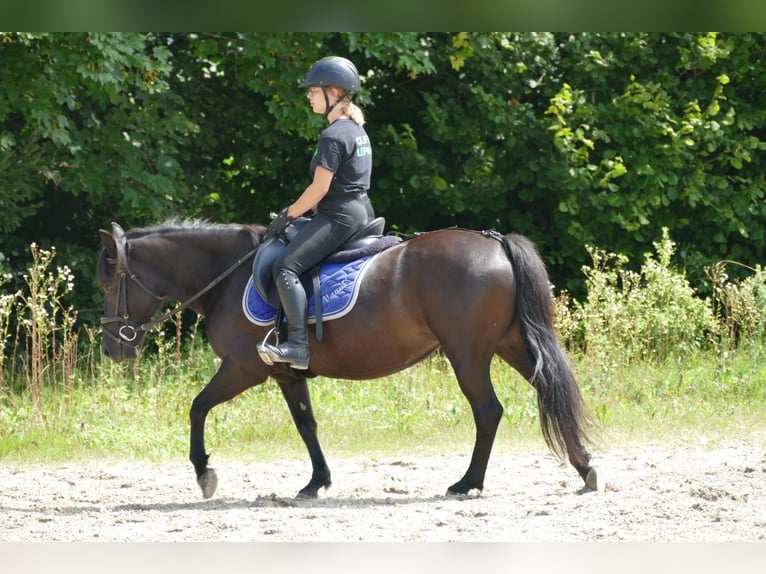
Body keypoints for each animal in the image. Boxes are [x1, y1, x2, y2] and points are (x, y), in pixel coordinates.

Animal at [96, 220, 604, 500]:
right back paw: (584, 467)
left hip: (468, 355)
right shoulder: (286, 373)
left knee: (488, 411)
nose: (112, 347)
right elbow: (307, 424)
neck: (228, 274)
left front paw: (204, 472)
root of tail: (494, 241)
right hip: (511, 345)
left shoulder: (243, 367)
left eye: (108, 282)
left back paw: (467, 482)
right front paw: (316, 482)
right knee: (550, 390)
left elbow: (197, 406)